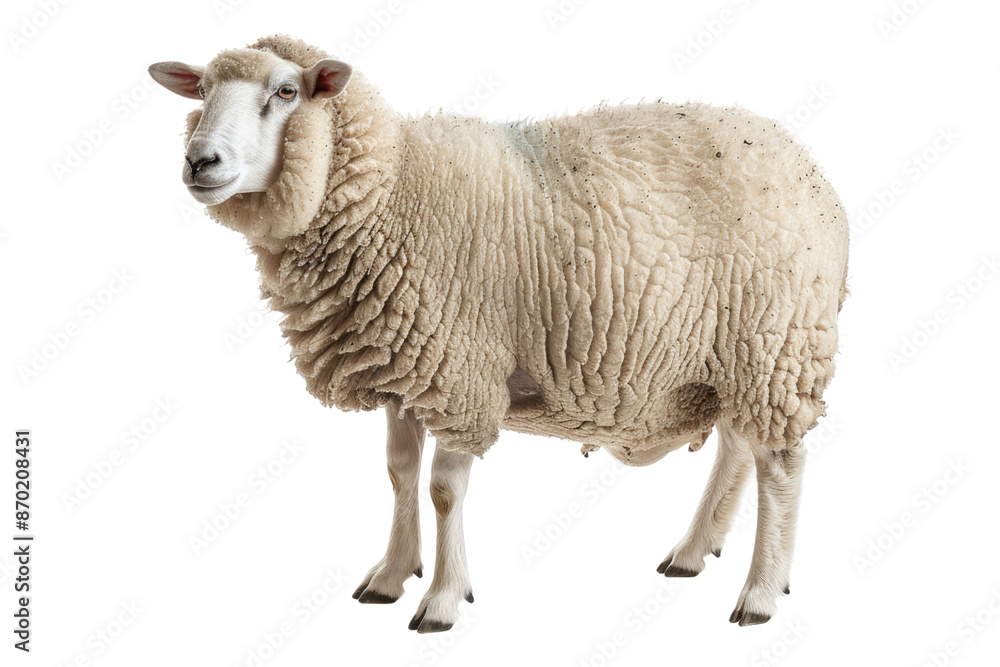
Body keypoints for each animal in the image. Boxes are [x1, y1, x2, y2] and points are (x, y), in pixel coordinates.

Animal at [149, 34, 849, 632]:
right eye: (202, 90)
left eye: (287, 91)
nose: (199, 161)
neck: (394, 189)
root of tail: (808, 166)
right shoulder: (402, 367)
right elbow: (399, 472)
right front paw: (391, 575)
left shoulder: (462, 374)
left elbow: (443, 490)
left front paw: (441, 600)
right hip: (731, 352)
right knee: (737, 447)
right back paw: (694, 550)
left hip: (777, 342)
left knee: (779, 464)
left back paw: (760, 592)